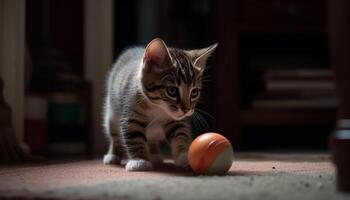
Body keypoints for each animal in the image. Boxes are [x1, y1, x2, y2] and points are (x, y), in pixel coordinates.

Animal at [102, 38, 216, 171]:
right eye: (172, 90)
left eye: (194, 92)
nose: (186, 109)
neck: (157, 108)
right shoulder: (130, 115)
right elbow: (134, 137)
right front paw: (140, 160)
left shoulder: (176, 120)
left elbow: (180, 134)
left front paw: (184, 156)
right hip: (111, 113)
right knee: (114, 134)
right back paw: (113, 155)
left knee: (151, 138)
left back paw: (154, 154)